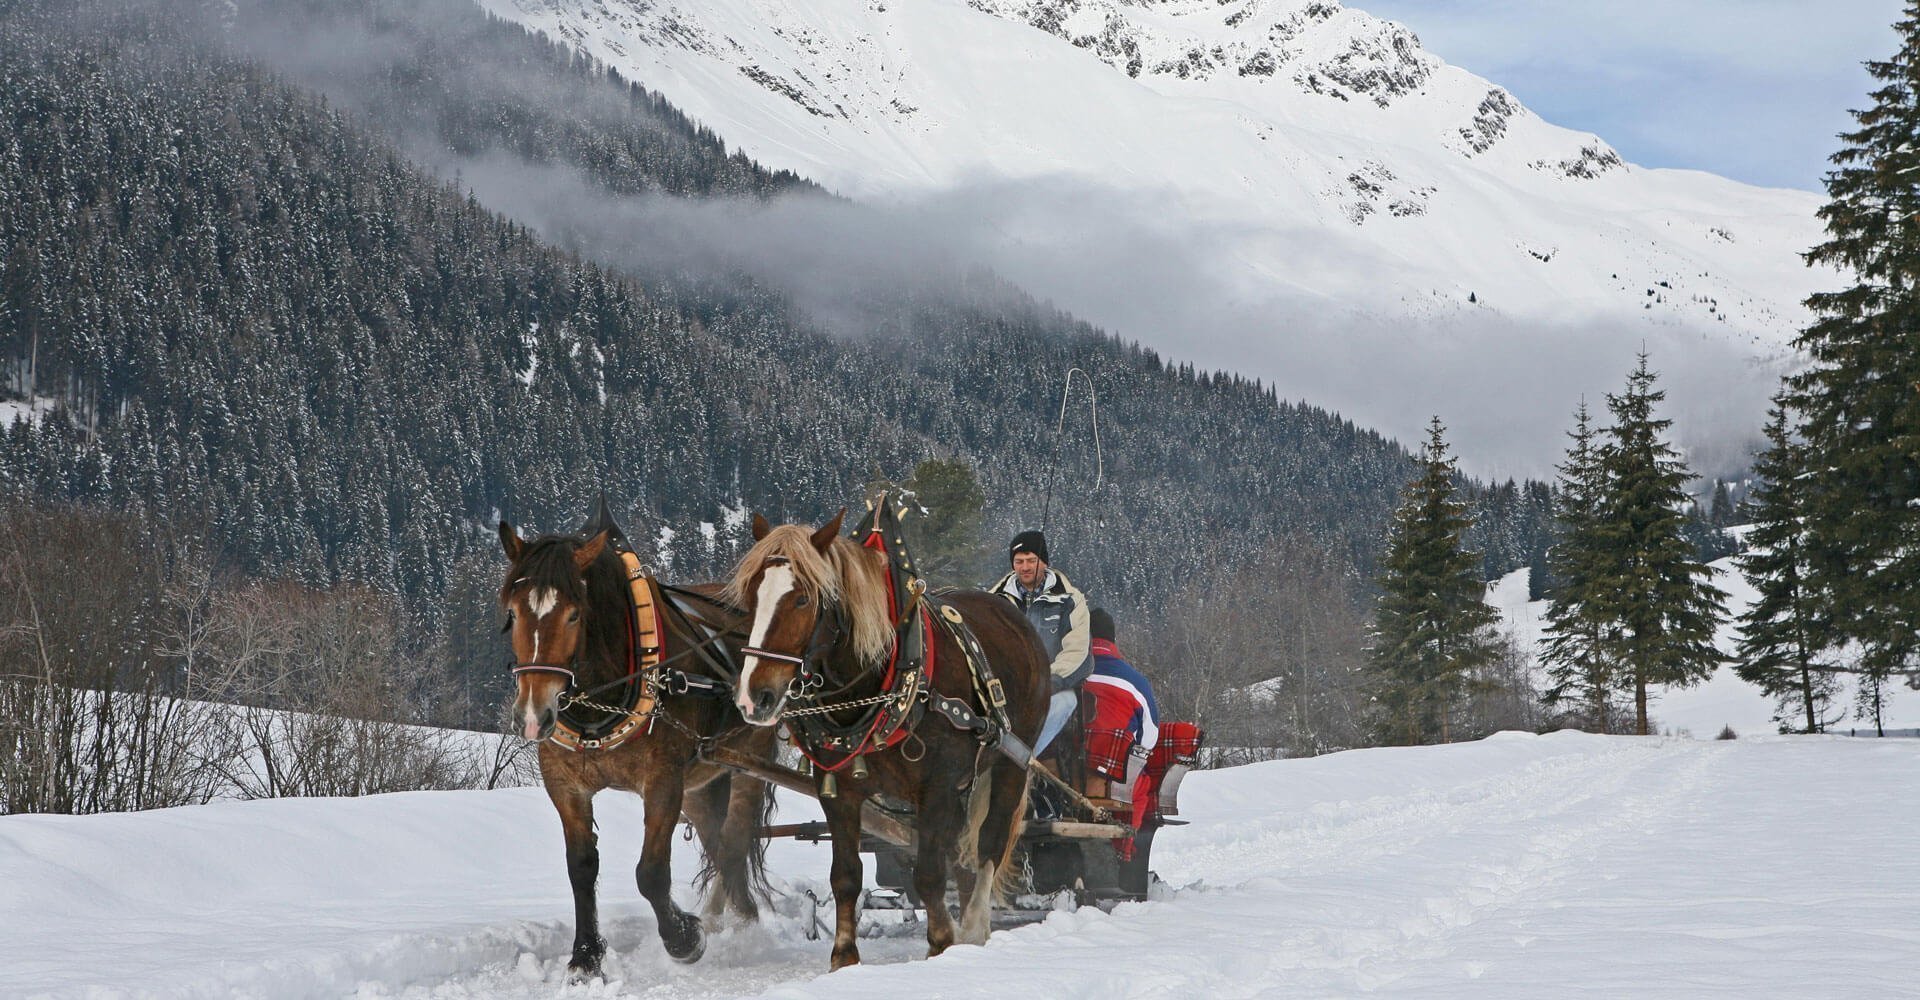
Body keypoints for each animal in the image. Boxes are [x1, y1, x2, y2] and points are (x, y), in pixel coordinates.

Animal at [499, 518, 775, 978]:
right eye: (514, 612)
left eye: (574, 614)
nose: (534, 716)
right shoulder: (565, 785)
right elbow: (581, 868)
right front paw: (585, 957)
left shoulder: (662, 779)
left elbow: (651, 873)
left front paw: (685, 939)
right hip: (699, 782)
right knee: (719, 845)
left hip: (750, 757)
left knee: (735, 842)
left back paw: (741, 930)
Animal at [721, 510, 1052, 963]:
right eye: (752, 598)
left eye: (803, 599)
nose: (754, 696)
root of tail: (1014, 617)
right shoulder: (839, 789)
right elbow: (845, 874)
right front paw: (844, 957)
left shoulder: (937, 788)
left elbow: (929, 873)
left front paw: (941, 943)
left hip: (1010, 763)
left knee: (988, 844)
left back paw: (974, 928)